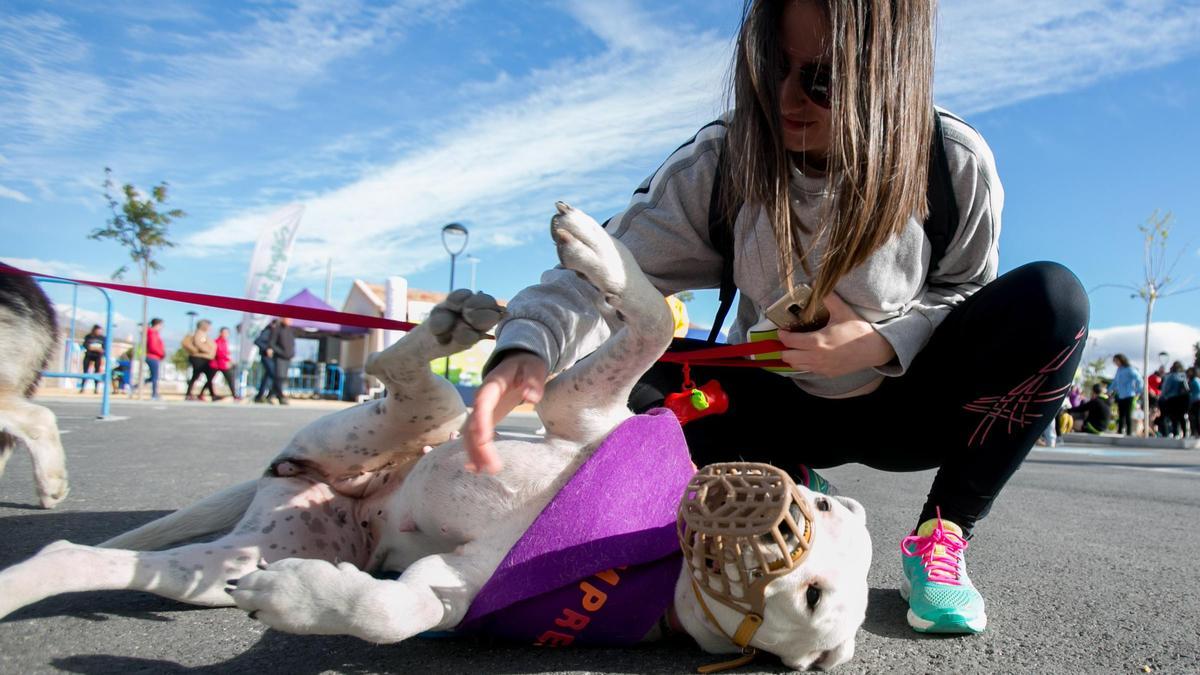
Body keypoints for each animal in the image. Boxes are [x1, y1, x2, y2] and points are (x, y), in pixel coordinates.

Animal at [0, 204, 873, 667]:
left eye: (812, 595)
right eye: (825, 507)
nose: (756, 500)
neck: (647, 545)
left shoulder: (449, 594)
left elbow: (390, 613)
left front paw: (301, 599)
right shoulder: (579, 408)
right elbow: (655, 319)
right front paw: (601, 252)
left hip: (229, 559)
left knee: (83, 556)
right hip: (415, 425)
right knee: (404, 367)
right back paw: (452, 319)